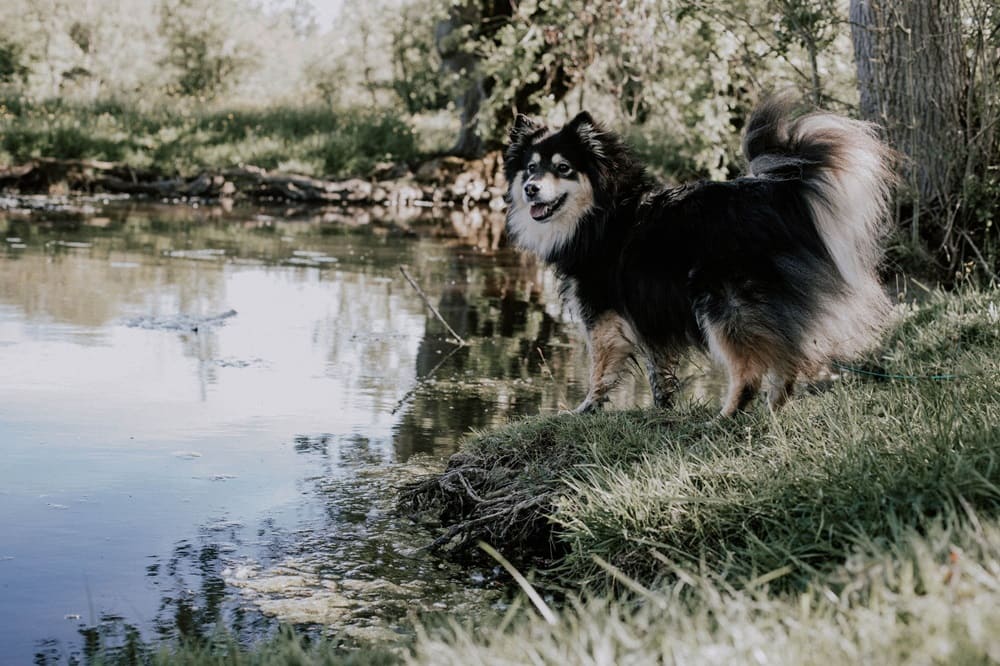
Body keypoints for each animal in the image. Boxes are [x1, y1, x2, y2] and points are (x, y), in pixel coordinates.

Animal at [504, 97, 896, 416]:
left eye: (563, 168)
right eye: (530, 168)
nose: (531, 189)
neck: (603, 213)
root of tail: (781, 194)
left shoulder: (601, 313)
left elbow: (600, 369)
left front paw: (586, 408)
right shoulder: (647, 310)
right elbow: (657, 367)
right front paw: (662, 407)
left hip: (722, 304)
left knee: (750, 370)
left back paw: (726, 417)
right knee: (785, 361)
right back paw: (772, 410)